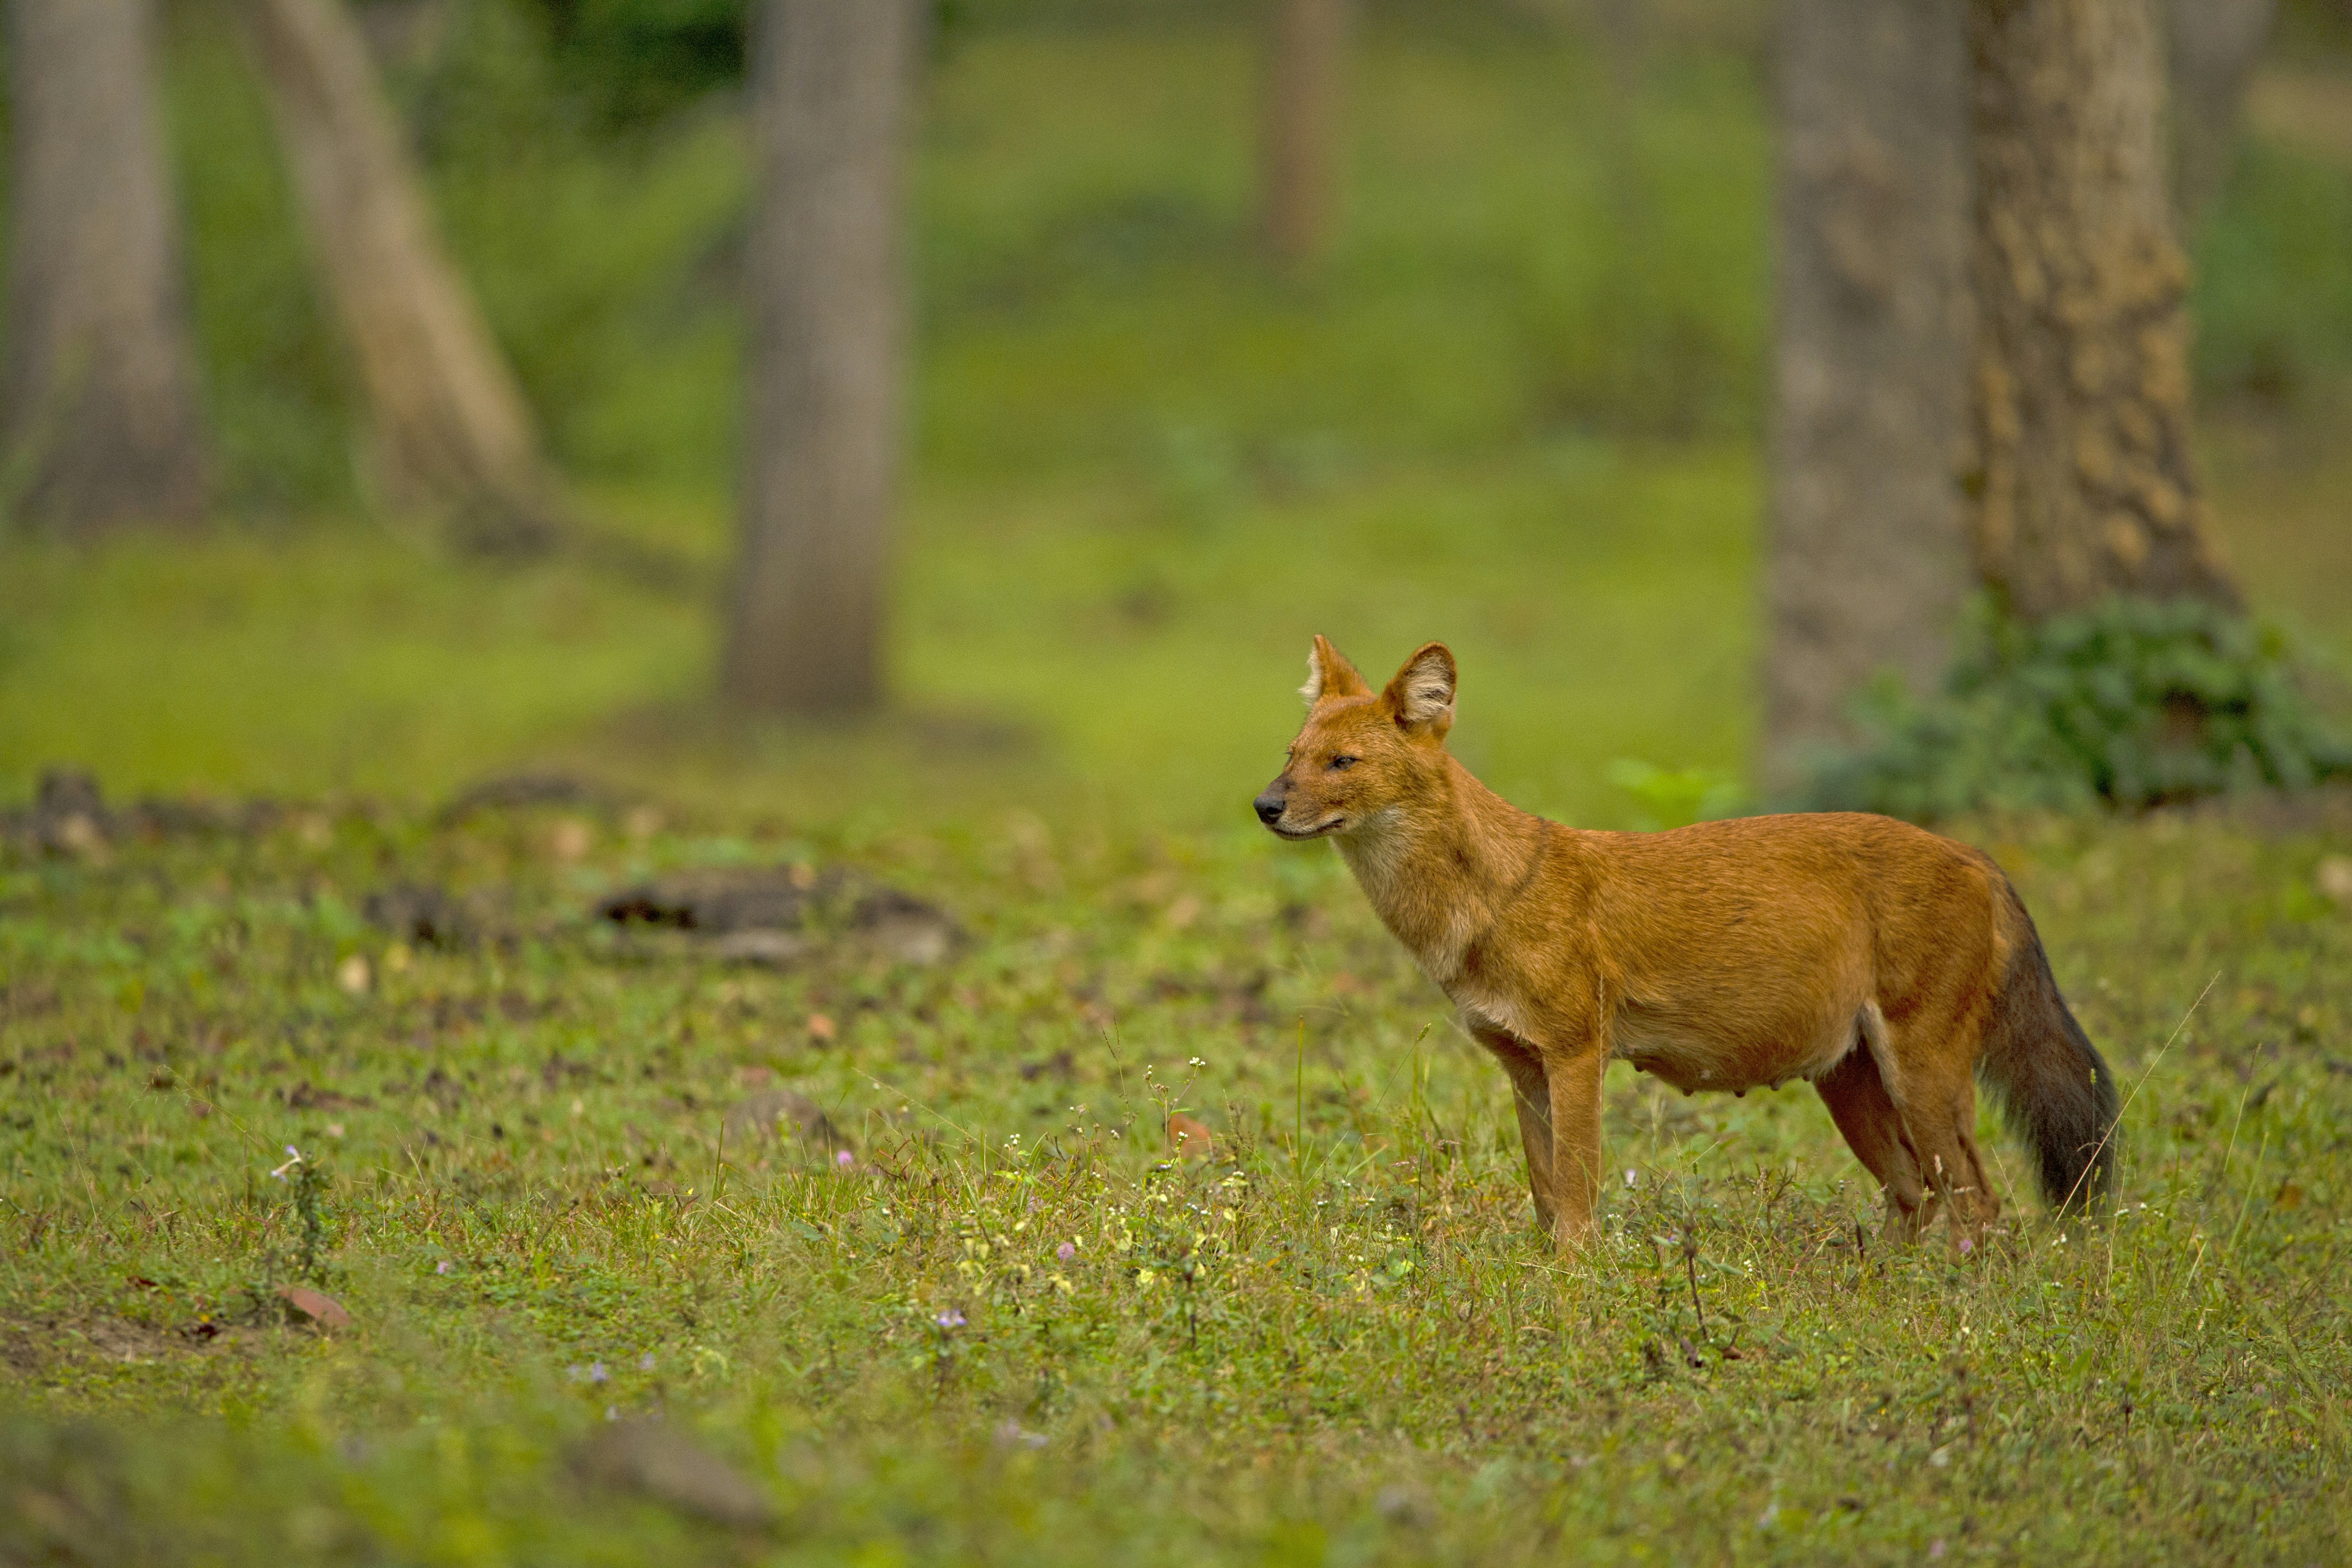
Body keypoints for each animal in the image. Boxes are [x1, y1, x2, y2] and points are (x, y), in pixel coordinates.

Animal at [1253, 636, 2118, 1255]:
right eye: (1291, 755)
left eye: (1343, 762)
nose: (1264, 806)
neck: (1485, 897)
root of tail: (1976, 855)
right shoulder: (1522, 1067)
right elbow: (1543, 1192)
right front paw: (1543, 1276)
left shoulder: (1577, 1054)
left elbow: (1576, 1189)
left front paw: (1574, 1285)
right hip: (1850, 1082)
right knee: (1918, 1195)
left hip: (1923, 1073)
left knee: (1980, 1200)